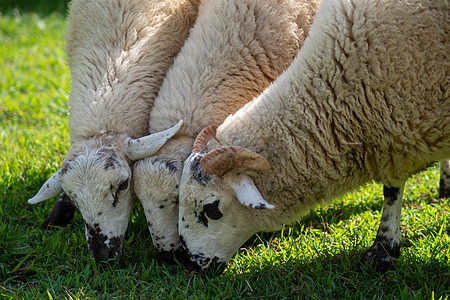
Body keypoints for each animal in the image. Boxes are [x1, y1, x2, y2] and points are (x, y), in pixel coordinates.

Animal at [178, 0, 448, 272]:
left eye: (212, 209)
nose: (187, 262)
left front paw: (382, 249)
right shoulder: (395, 135)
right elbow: (392, 188)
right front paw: (384, 246)